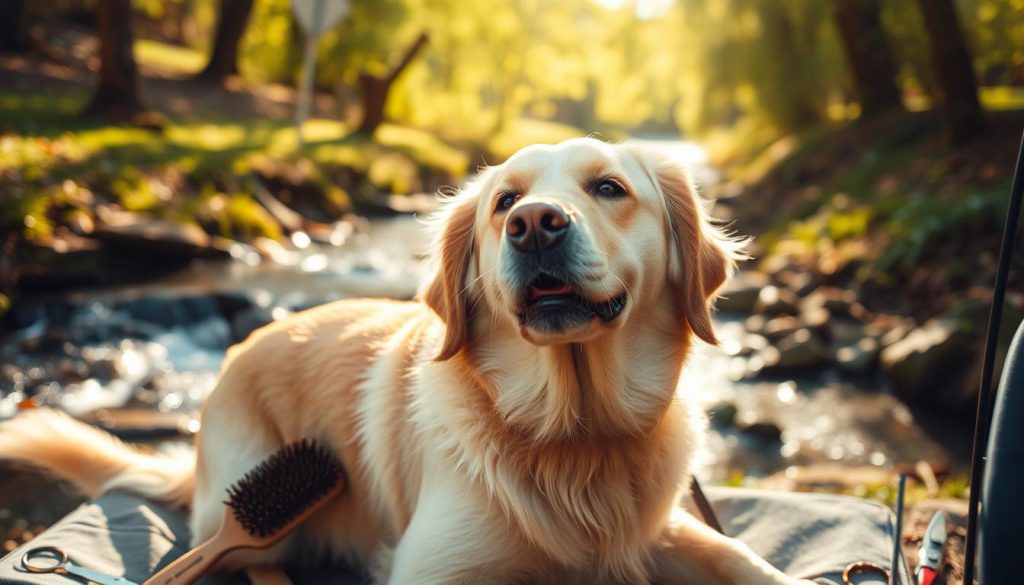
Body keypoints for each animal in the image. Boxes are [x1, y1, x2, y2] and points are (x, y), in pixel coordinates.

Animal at [2, 138, 815, 585]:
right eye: (504, 203)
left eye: (609, 187)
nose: (534, 224)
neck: (573, 434)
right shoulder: (432, 565)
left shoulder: (659, 531)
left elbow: (744, 559)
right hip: (258, 508)